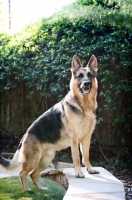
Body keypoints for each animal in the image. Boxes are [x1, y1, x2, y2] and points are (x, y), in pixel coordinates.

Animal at [0, 54, 99, 191]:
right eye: (80, 76)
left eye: (90, 75)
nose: (87, 84)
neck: (84, 105)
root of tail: (24, 135)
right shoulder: (74, 139)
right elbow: (77, 158)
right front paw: (79, 173)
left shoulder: (86, 138)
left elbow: (86, 156)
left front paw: (90, 170)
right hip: (33, 160)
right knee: (22, 173)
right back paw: (27, 189)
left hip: (45, 160)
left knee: (33, 174)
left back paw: (41, 188)